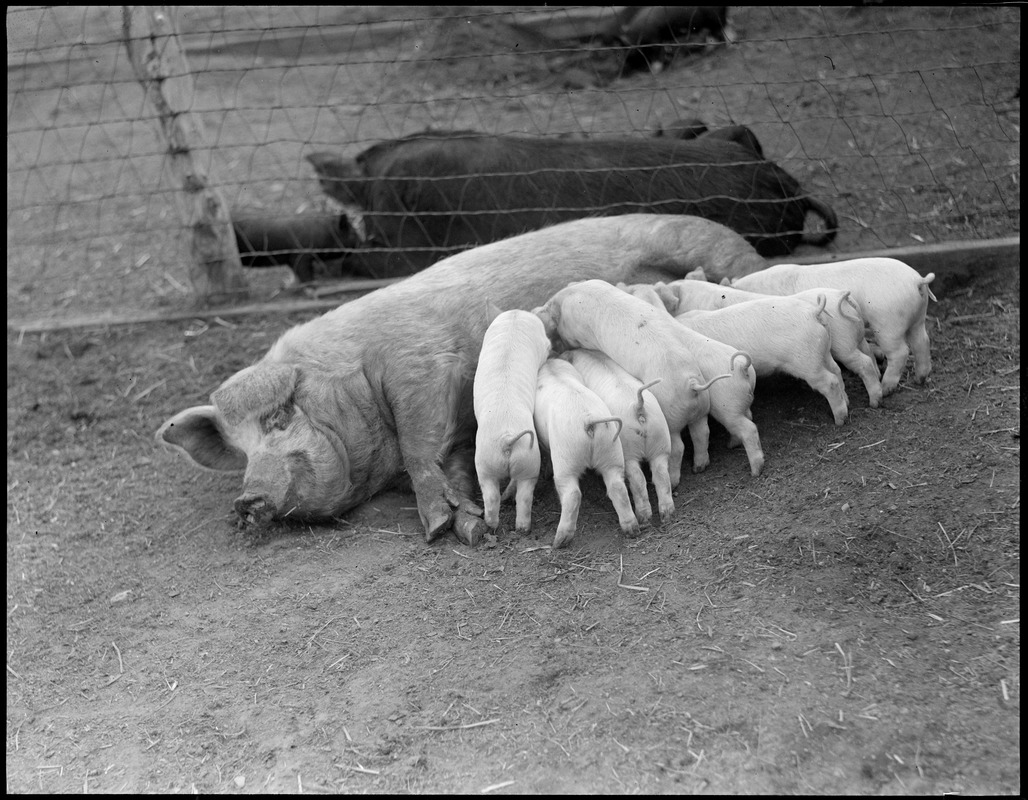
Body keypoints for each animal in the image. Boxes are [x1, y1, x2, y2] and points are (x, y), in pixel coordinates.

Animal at [474, 308, 555, 534]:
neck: (515, 319)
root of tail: (507, 438)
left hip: (491, 463)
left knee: (498, 496)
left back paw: (503, 526)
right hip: (525, 460)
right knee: (520, 496)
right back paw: (516, 528)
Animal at [727, 257, 937, 394]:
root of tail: (918, 280)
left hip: (888, 323)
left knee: (900, 352)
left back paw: (886, 388)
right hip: (918, 318)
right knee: (922, 341)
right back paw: (920, 379)